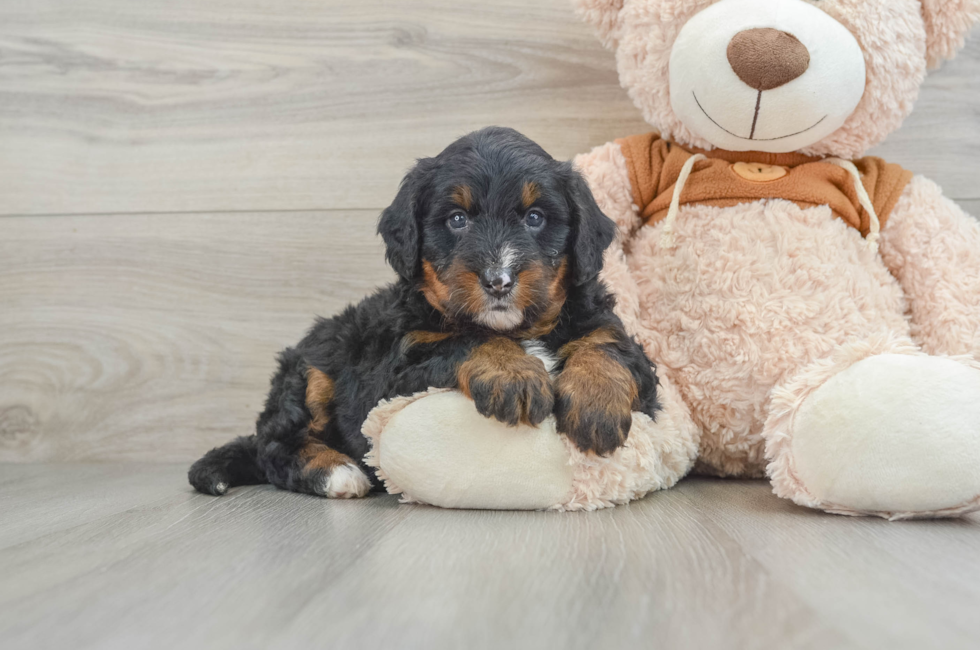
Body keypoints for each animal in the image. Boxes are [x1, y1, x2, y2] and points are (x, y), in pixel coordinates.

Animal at [188, 126, 664, 496]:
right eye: (457, 219)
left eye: (534, 217)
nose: (498, 280)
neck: (517, 329)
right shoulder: (400, 367)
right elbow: (467, 339)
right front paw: (514, 374)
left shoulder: (610, 332)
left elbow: (606, 347)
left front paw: (596, 406)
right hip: (311, 370)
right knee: (274, 445)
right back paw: (339, 472)